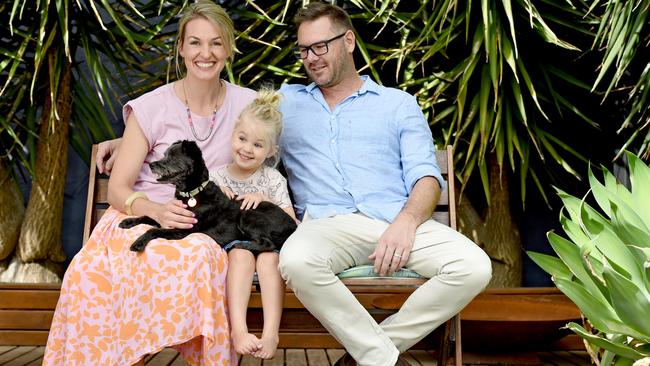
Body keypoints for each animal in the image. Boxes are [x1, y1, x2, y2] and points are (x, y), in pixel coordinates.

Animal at [119, 140, 296, 254]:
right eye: (164, 154)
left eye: (173, 157)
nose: (151, 164)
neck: (192, 193)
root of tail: (293, 227)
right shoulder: (171, 217)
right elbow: (149, 217)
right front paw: (129, 221)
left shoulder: (183, 230)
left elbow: (153, 229)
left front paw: (138, 242)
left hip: (247, 215)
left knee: (269, 244)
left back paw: (241, 246)